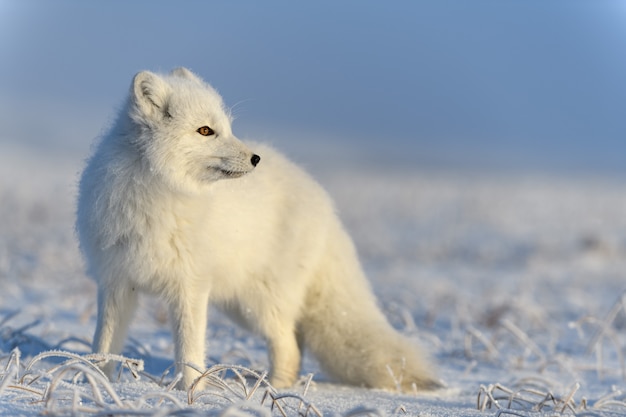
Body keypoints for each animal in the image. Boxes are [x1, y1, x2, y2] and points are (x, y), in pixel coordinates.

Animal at [75, 67, 436, 390]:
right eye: (205, 130)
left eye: (227, 128)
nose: (255, 159)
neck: (158, 194)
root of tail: (324, 202)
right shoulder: (116, 283)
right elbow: (103, 344)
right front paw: (95, 382)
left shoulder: (190, 287)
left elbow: (189, 351)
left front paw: (191, 393)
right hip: (240, 305)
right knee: (296, 341)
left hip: (260, 303)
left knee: (288, 345)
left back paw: (272, 390)